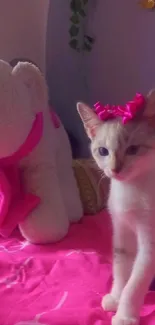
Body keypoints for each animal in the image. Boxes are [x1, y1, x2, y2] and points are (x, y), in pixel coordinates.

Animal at [77, 90, 155, 324]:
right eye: (103, 151)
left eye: (133, 149)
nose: (115, 169)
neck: (130, 189)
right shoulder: (121, 229)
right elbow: (120, 270)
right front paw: (116, 297)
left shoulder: (150, 244)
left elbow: (135, 283)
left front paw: (125, 315)